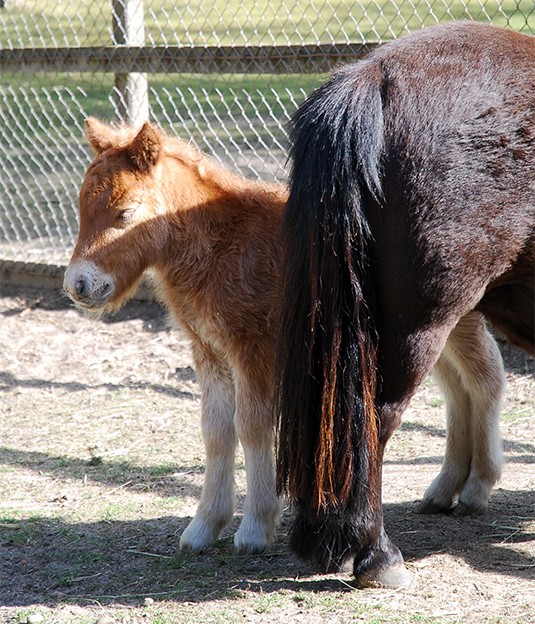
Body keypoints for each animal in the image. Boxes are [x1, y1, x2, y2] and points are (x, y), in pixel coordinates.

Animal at [64, 118, 286, 556]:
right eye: (80, 210)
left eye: (124, 213)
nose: (77, 285)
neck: (225, 244)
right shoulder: (209, 352)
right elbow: (216, 430)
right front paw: (205, 525)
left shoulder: (253, 349)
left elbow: (252, 426)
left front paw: (255, 528)